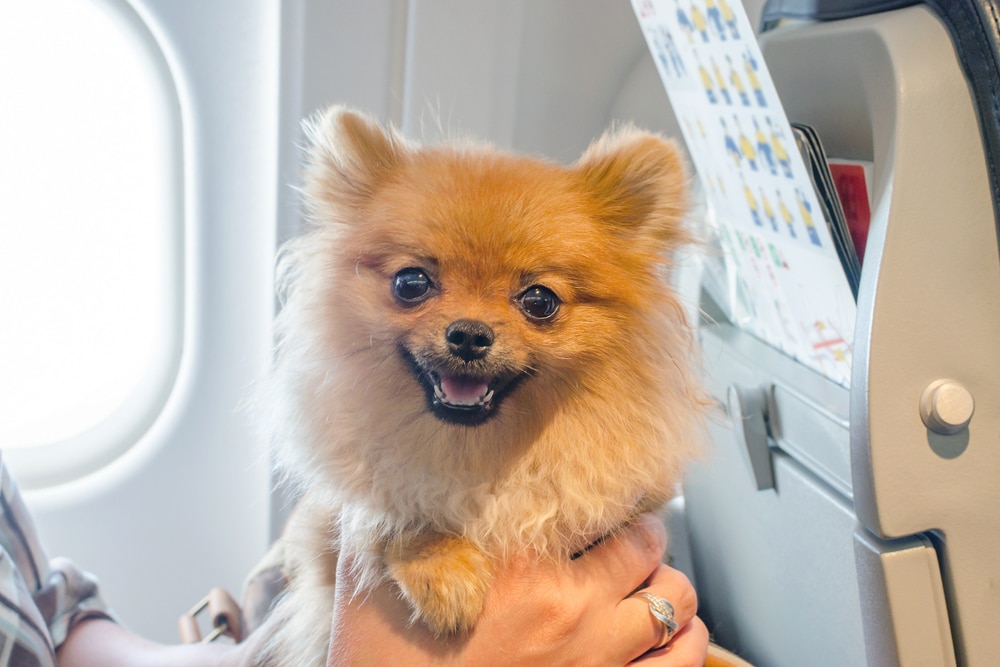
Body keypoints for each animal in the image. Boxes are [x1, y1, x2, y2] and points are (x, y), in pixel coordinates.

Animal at [260, 107, 712, 664]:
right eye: (411, 283)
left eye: (539, 301)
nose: (470, 334)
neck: (481, 456)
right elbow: (391, 509)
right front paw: (443, 567)